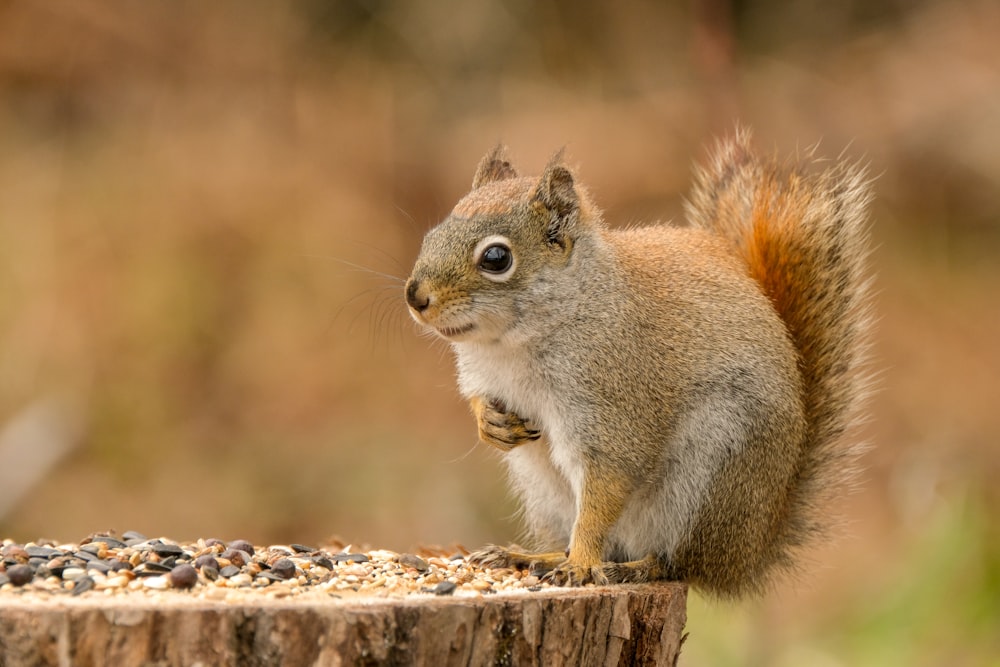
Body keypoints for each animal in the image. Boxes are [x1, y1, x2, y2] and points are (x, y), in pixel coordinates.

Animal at [402, 130, 872, 600]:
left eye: (496, 258)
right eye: (432, 236)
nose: (415, 296)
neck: (513, 345)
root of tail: (747, 556)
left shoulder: (613, 405)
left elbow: (604, 488)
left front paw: (581, 565)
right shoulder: (486, 377)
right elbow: (480, 400)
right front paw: (490, 424)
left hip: (711, 474)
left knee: (675, 564)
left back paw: (626, 568)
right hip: (543, 488)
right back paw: (532, 556)